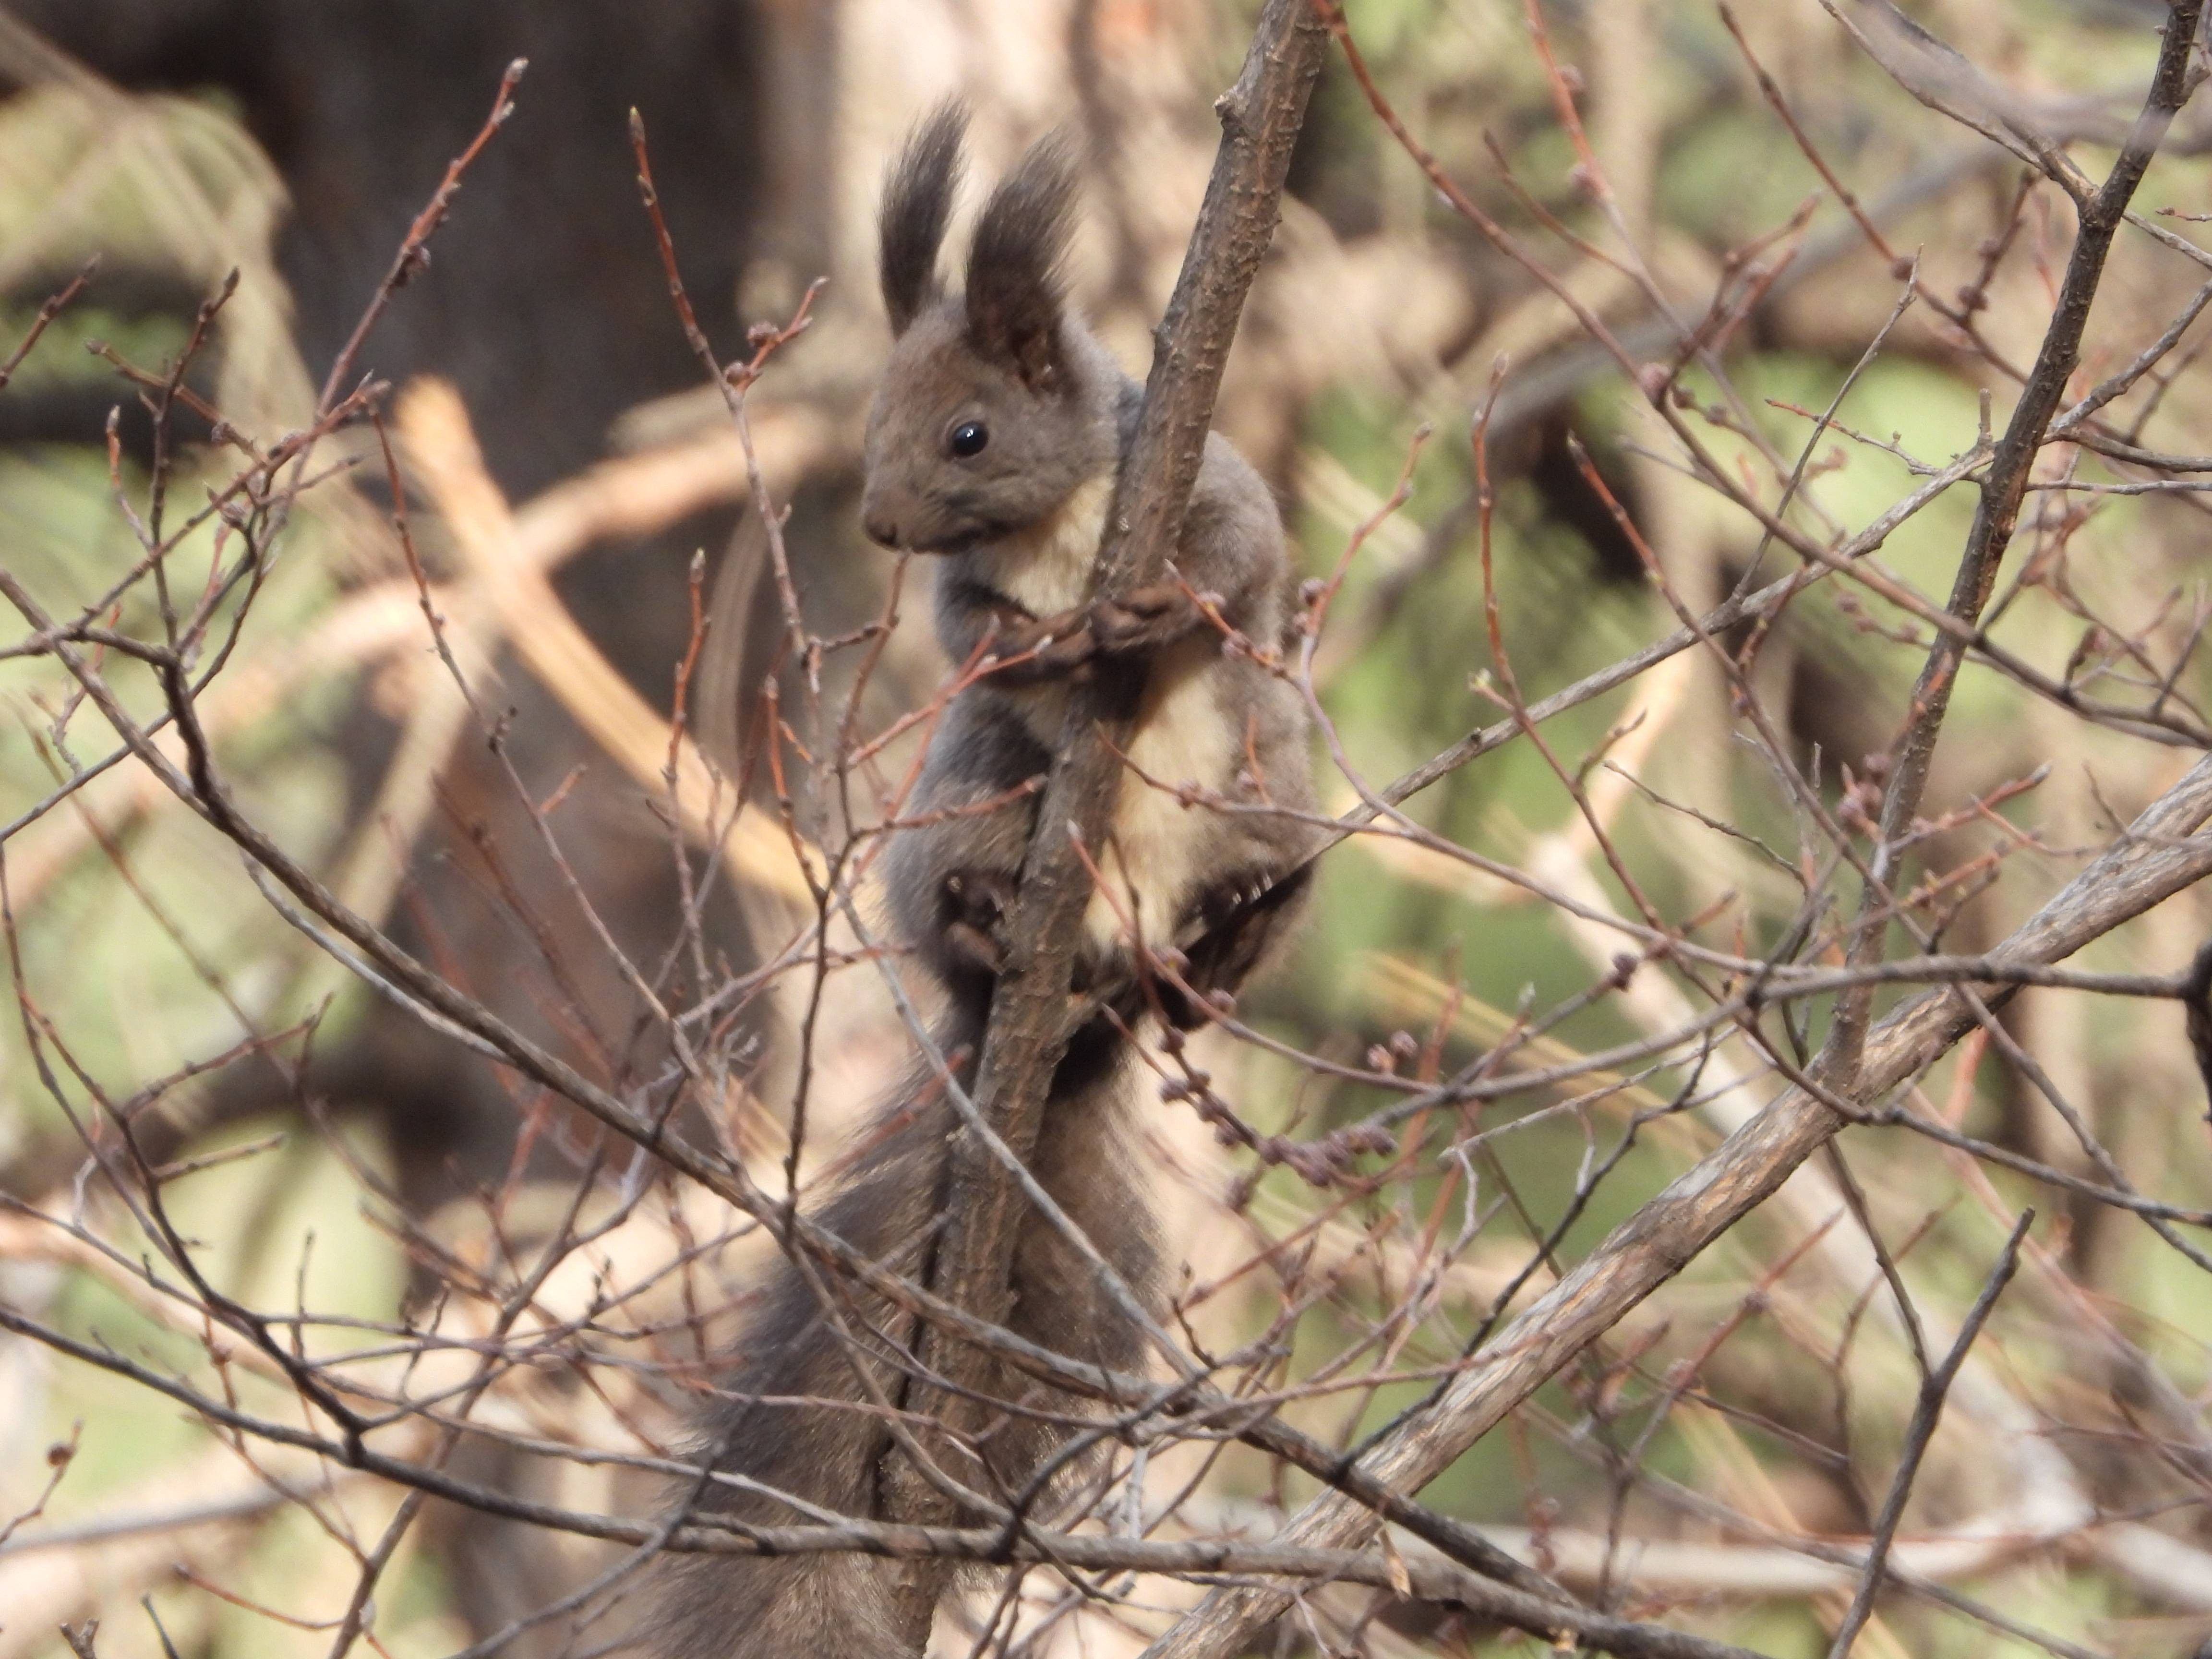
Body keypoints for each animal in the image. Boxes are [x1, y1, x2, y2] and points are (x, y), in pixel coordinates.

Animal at [650, 107, 1309, 1659]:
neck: (1058, 526)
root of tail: (1105, 978)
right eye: (875, 422)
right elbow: (975, 634)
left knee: (1250, 914)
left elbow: (1242, 551)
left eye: (969, 432)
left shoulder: (1205, 484)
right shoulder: (969, 614)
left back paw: (1230, 944)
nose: (886, 525)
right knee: (965, 895)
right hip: (972, 799)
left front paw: (1157, 606)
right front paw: (1038, 643)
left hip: (1271, 779)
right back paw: (990, 921)